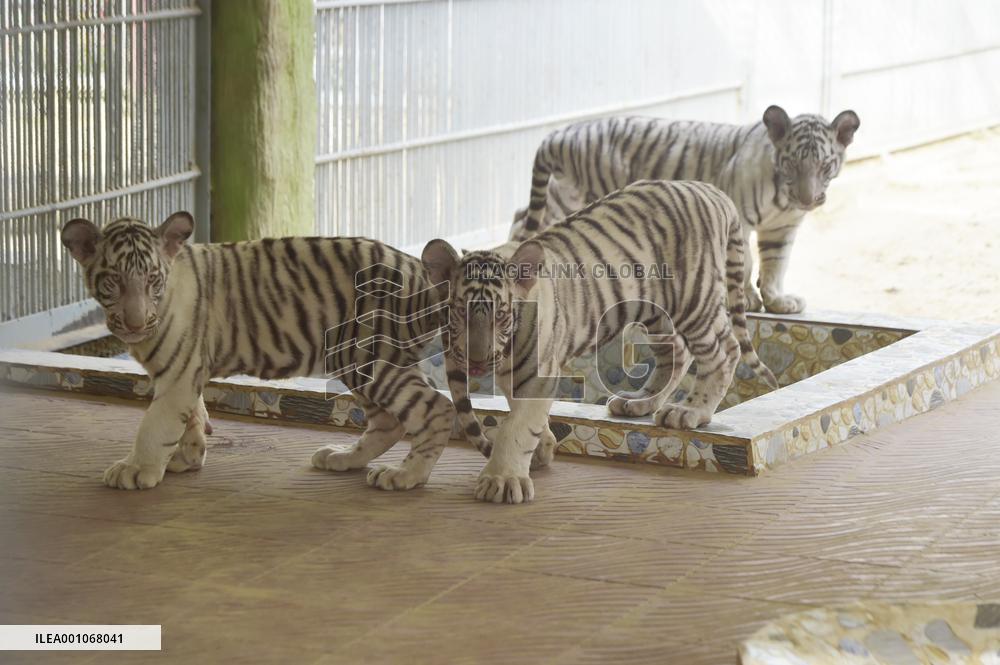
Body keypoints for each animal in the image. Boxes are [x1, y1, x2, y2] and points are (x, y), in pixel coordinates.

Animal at [60, 212, 490, 491]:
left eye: (152, 279)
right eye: (113, 281)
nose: (135, 324)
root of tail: (421, 271)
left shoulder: (178, 374)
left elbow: (155, 425)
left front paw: (137, 470)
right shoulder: (187, 372)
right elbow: (192, 415)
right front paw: (189, 456)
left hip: (370, 359)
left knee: (436, 409)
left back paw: (405, 476)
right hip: (360, 361)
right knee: (389, 422)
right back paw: (343, 458)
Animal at [423, 180, 778, 504]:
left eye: (500, 316)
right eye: (459, 312)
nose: (476, 361)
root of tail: (712, 191)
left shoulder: (539, 373)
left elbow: (516, 425)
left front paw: (502, 479)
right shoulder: (515, 375)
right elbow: (522, 415)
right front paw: (541, 448)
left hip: (694, 298)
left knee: (724, 351)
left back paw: (689, 411)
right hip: (655, 311)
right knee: (677, 352)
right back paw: (640, 402)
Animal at [508, 105, 860, 315]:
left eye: (825, 165)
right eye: (792, 164)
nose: (808, 199)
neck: (784, 199)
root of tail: (561, 132)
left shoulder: (782, 229)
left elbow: (776, 264)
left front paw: (777, 301)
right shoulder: (740, 219)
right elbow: (745, 262)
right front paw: (746, 298)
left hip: (562, 197)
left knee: (522, 218)